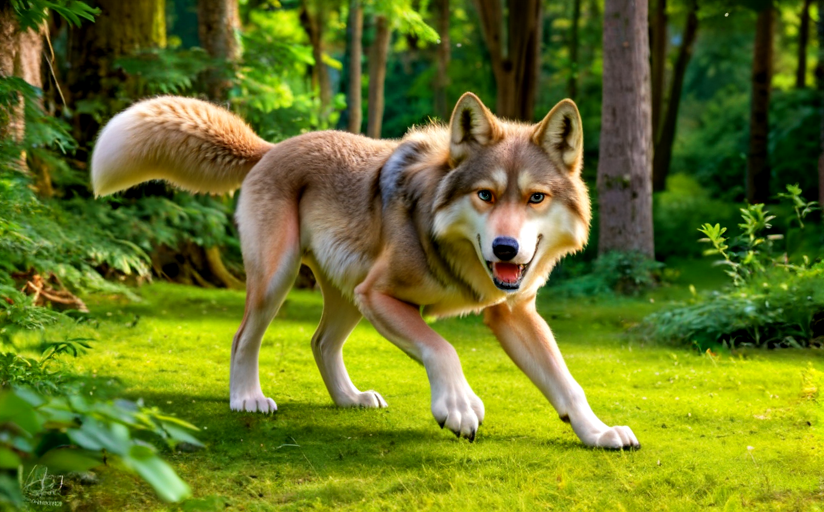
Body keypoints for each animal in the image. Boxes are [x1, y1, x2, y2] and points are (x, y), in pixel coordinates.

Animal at [91, 92, 640, 449]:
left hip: (347, 296)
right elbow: (442, 348)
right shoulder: (383, 295)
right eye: (485, 194)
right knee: (243, 338)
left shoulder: (514, 312)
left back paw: (349, 399)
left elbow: (567, 383)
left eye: (535, 198)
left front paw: (598, 433)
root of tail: (272, 148)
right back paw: (247, 398)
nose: (506, 249)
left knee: (319, 342)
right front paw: (458, 406)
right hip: (281, 281)